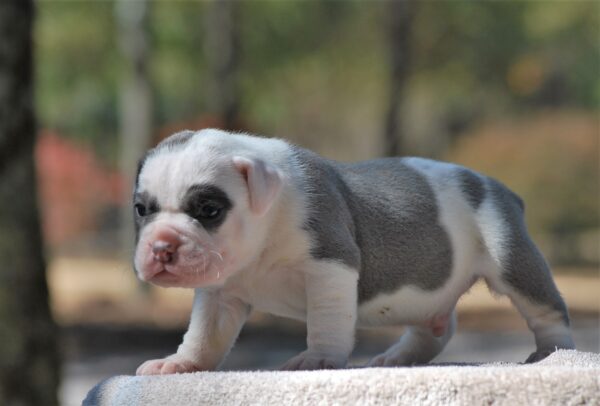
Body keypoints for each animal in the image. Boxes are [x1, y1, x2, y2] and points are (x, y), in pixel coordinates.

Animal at [134, 127, 576, 374]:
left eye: (209, 210)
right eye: (141, 209)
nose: (161, 246)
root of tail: (502, 189)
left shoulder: (329, 266)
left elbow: (326, 321)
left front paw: (317, 359)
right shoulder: (220, 294)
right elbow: (205, 335)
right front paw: (182, 363)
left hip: (511, 255)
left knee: (545, 310)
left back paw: (551, 351)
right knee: (436, 328)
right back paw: (398, 358)